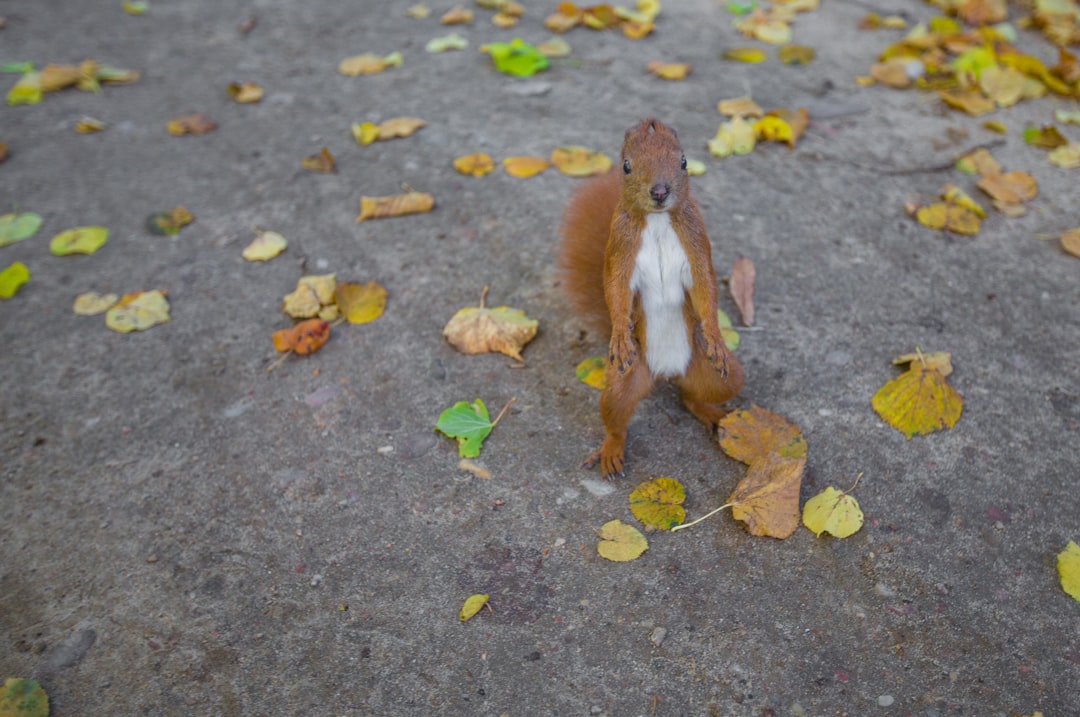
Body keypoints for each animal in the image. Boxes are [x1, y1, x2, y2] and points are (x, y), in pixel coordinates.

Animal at [558, 117, 744, 478]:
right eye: (626, 166)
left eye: (684, 161)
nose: (659, 192)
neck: (657, 221)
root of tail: (667, 372)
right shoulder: (620, 247)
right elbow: (615, 289)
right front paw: (620, 332)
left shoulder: (696, 240)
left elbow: (705, 287)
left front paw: (715, 335)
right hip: (624, 380)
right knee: (616, 416)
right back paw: (611, 450)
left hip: (719, 375)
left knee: (692, 396)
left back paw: (711, 412)